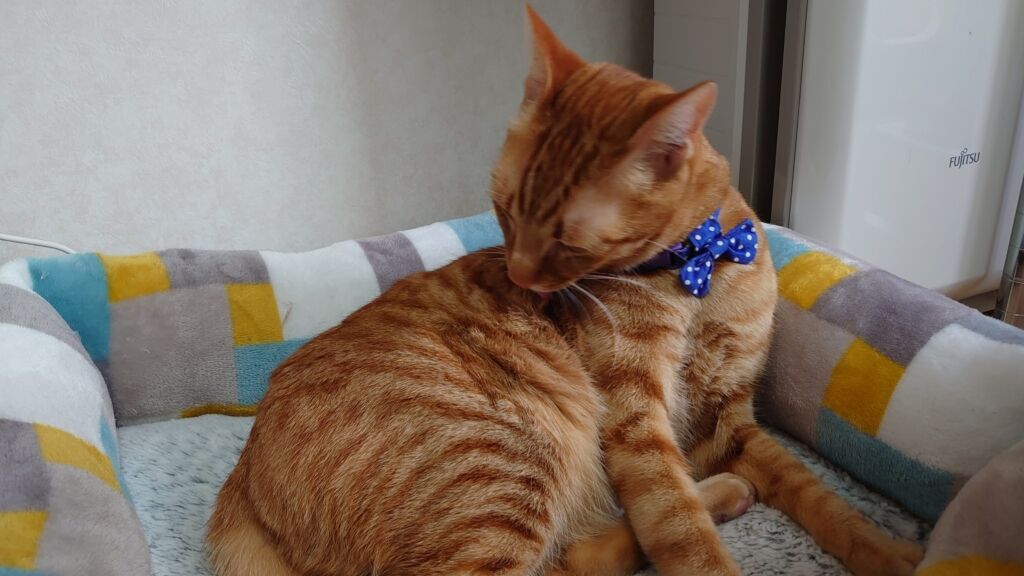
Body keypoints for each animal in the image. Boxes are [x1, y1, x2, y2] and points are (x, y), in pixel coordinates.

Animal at [207, 6, 923, 576]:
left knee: (577, 556)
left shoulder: (731, 420)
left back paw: (722, 491)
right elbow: (681, 534)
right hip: (506, 464)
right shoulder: (637, 423)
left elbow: (822, 499)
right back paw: (718, 495)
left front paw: (893, 552)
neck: (697, 275)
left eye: (567, 241)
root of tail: (240, 487)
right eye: (502, 211)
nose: (520, 279)